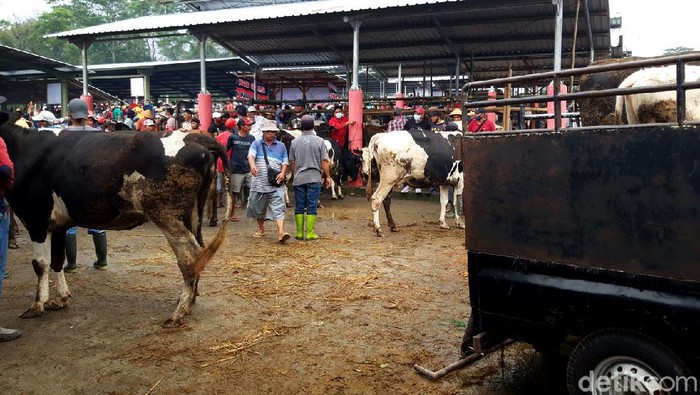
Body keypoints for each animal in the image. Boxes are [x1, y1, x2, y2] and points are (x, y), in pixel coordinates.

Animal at [0, 113, 231, 330]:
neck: (21, 146)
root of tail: (194, 136)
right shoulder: (58, 224)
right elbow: (57, 259)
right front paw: (60, 299)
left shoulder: (36, 218)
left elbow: (40, 264)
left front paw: (37, 305)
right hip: (192, 214)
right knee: (200, 252)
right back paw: (190, 301)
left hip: (168, 216)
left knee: (190, 256)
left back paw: (178, 313)